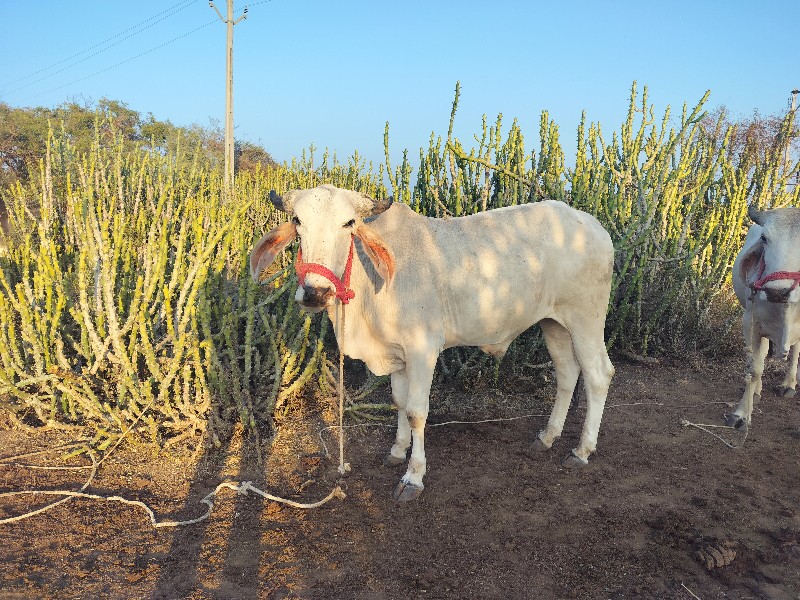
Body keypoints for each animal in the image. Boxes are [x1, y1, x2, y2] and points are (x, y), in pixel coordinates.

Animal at [253, 184, 616, 502]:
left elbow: (416, 412)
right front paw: (397, 450)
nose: (315, 292)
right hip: (553, 324)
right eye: (298, 221)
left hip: (585, 320)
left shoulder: (422, 350)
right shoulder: (397, 355)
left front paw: (413, 476)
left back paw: (582, 450)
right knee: (567, 374)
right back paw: (547, 436)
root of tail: (594, 225)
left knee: (598, 376)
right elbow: (399, 402)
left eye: (349, 223)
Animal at [728, 206, 800, 432]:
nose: (778, 291)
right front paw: (742, 414)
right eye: (764, 238)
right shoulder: (750, 323)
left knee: (795, 352)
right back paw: (757, 392)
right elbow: (754, 369)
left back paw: (788, 385)